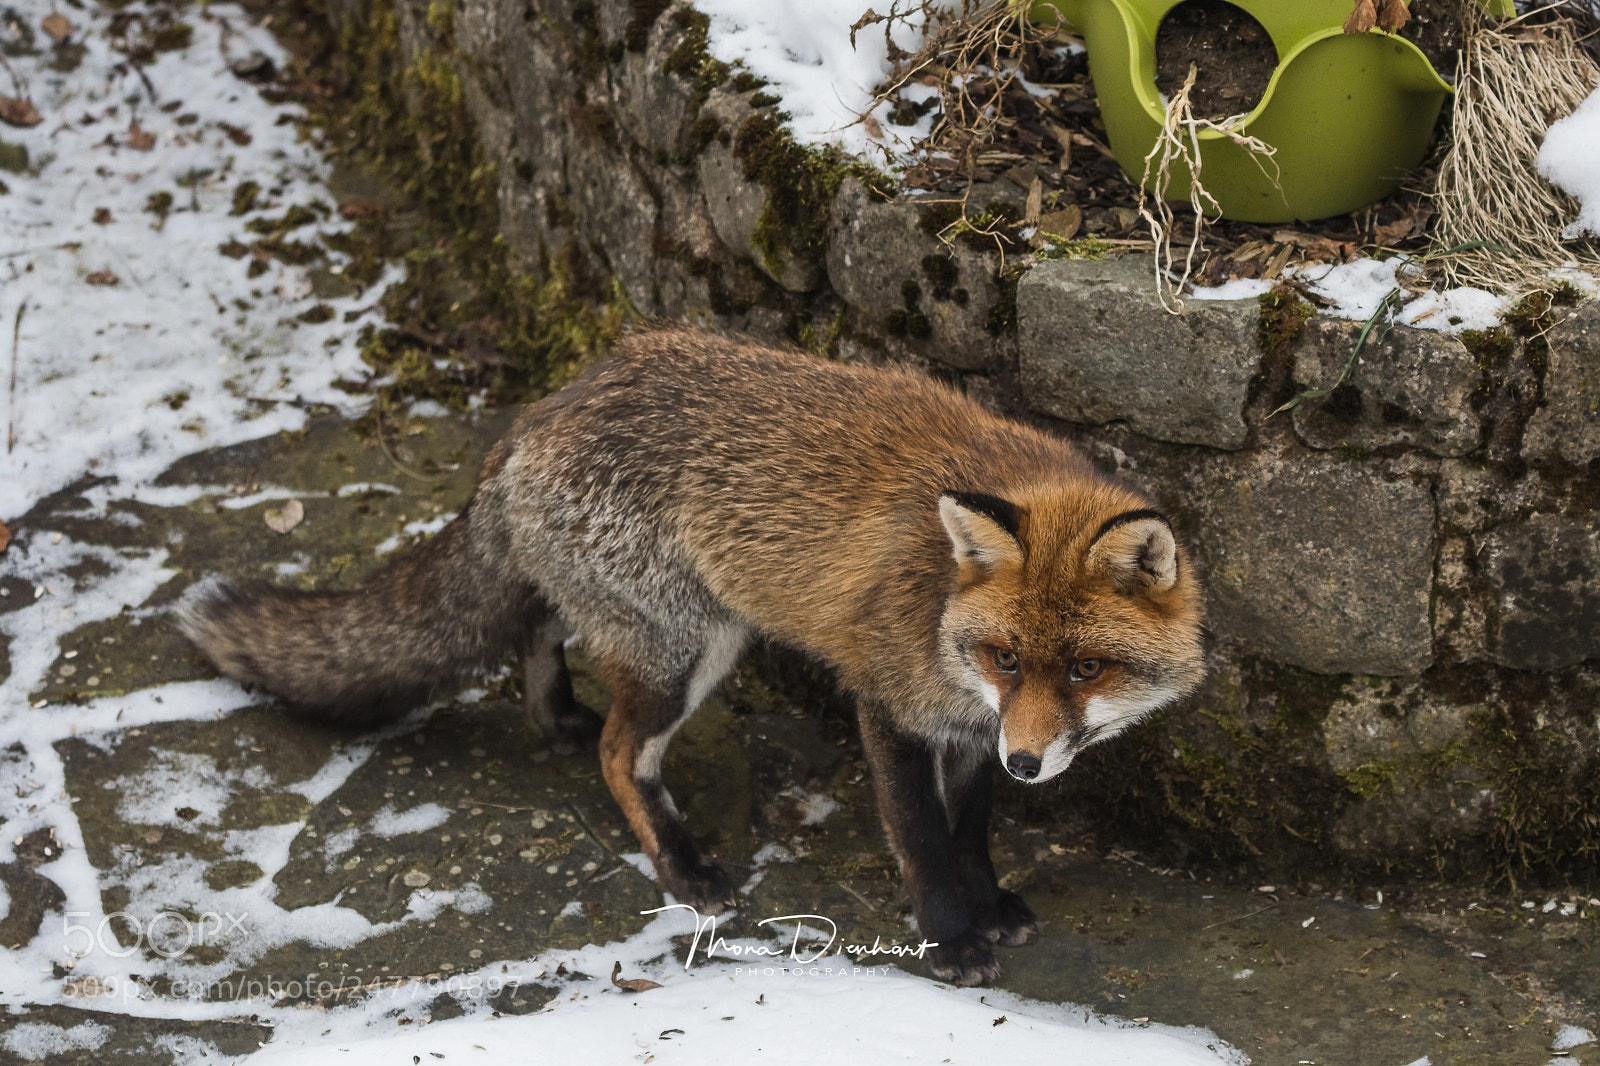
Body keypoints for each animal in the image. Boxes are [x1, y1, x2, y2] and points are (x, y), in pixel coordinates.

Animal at [180, 327, 1206, 986]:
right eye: (1005, 656)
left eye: (1083, 669)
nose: (1029, 762)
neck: (941, 618)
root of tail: (540, 408)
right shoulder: (888, 700)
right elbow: (921, 838)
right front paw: (951, 940)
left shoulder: (969, 730)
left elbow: (972, 831)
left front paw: (989, 904)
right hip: (688, 651)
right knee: (618, 755)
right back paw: (683, 869)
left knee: (534, 628)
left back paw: (552, 715)